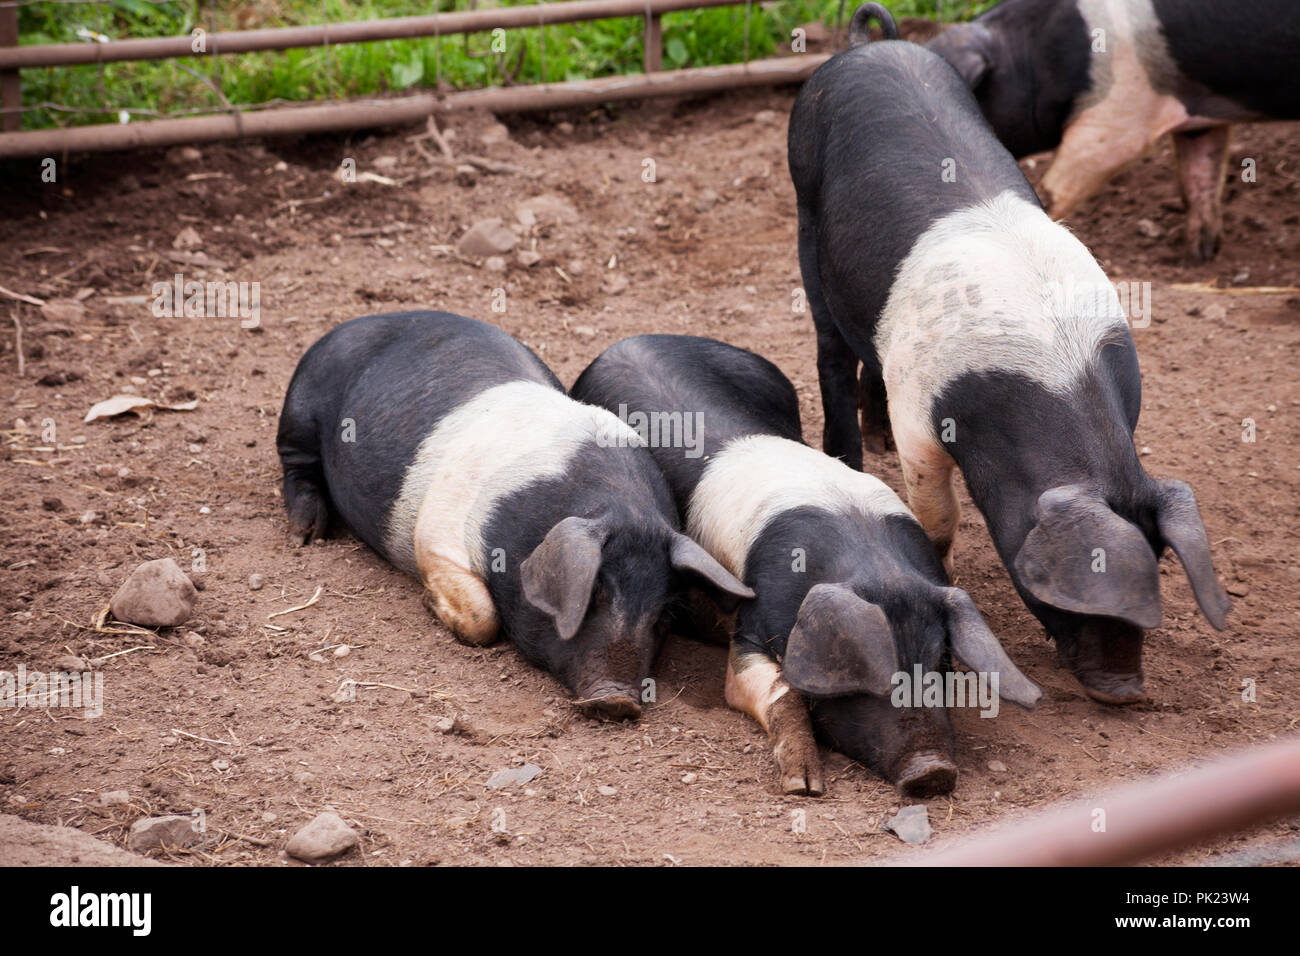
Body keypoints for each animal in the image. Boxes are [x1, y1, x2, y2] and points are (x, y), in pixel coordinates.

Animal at [279, 310, 759, 723]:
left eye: (664, 615)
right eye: (592, 594)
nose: (618, 701)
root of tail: (355, 323)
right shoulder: (435, 535)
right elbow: (482, 616)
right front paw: (429, 602)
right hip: (300, 409)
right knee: (296, 463)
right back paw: (307, 534)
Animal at [574, 335, 1040, 801]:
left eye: (942, 660)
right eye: (864, 668)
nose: (932, 771)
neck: (872, 561)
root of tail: (632, 341)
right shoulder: (751, 628)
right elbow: (773, 690)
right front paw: (803, 784)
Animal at [780, 3, 1227, 707]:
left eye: (1157, 566)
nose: (1125, 691)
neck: (1052, 372)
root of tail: (867, 48)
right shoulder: (922, 421)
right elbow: (938, 517)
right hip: (803, 210)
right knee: (830, 352)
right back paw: (851, 456)